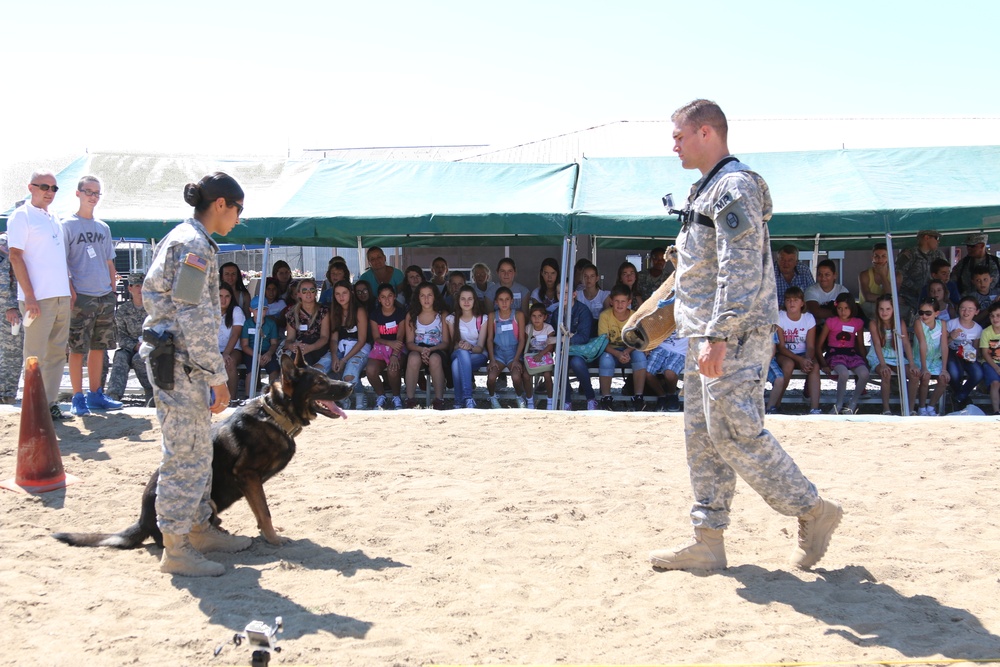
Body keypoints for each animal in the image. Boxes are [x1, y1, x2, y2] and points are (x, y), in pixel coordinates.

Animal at [54, 352, 354, 552]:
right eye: (320, 382)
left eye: (326, 377)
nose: (350, 386)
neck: (275, 415)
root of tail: (142, 520)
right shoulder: (248, 476)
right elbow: (265, 512)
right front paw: (273, 539)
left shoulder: (251, 482)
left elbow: (260, 513)